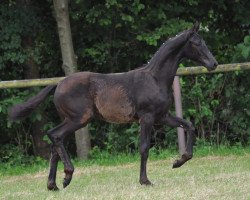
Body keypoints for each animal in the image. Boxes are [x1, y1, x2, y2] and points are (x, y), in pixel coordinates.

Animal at [8, 22, 218, 190]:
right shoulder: (147, 117)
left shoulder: (162, 116)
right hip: (79, 119)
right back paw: (67, 175)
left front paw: (178, 161)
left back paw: (54, 185)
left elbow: (189, 125)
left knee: (54, 145)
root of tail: (58, 84)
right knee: (55, 135)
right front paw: (145, 181)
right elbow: (144, 148)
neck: (155, 79)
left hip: (70, 119)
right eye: (197, 43)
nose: (214, 64)